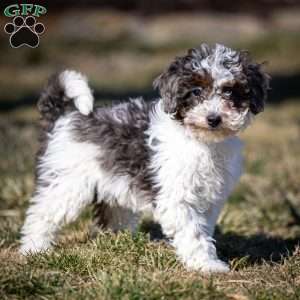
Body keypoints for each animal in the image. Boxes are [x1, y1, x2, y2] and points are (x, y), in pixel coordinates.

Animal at [21, 43, 270, 274]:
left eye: (229, 91)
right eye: (196, 91)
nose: (214, 119)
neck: (200, 141)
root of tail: (65, 116)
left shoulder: (210, 199)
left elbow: (203, 229)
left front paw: (204, 259)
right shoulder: (176, 198)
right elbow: (193, 232)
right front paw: (207, 265)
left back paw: (121, 241)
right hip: (67, 183)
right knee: (41, 214)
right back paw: (34, 248)